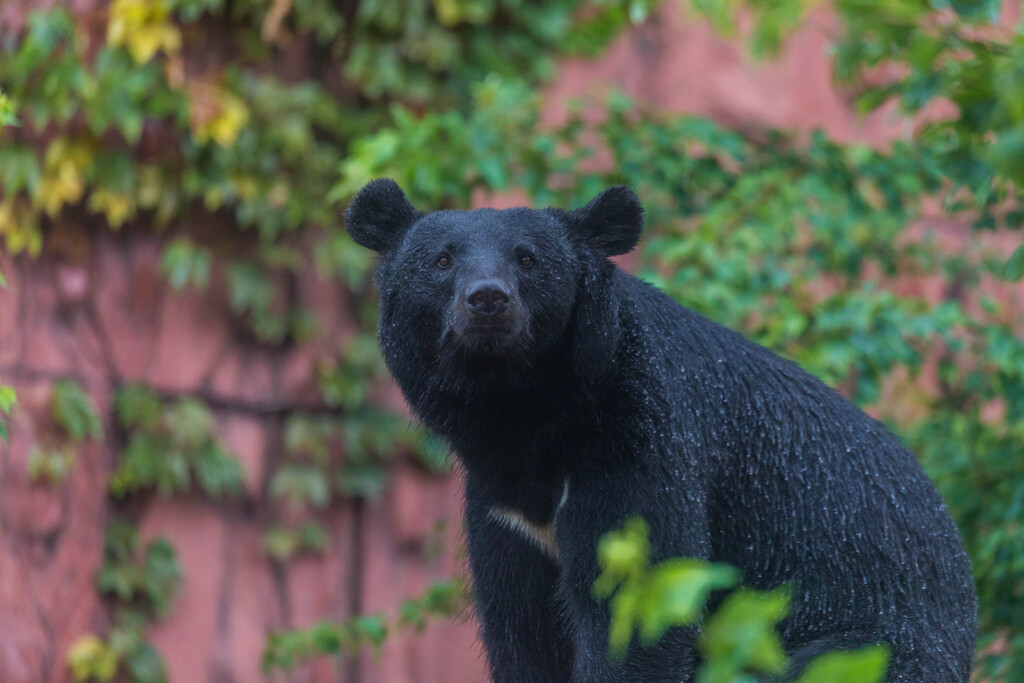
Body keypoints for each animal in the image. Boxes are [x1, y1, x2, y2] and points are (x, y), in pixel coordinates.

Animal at [344, 180, 974, 683]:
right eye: (441, 261)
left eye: (528, 259)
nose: (488, 300)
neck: (526, 415)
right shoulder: (504, 509)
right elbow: (522, 628)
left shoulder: (639, 441)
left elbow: (639, 606)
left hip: (874, 637)